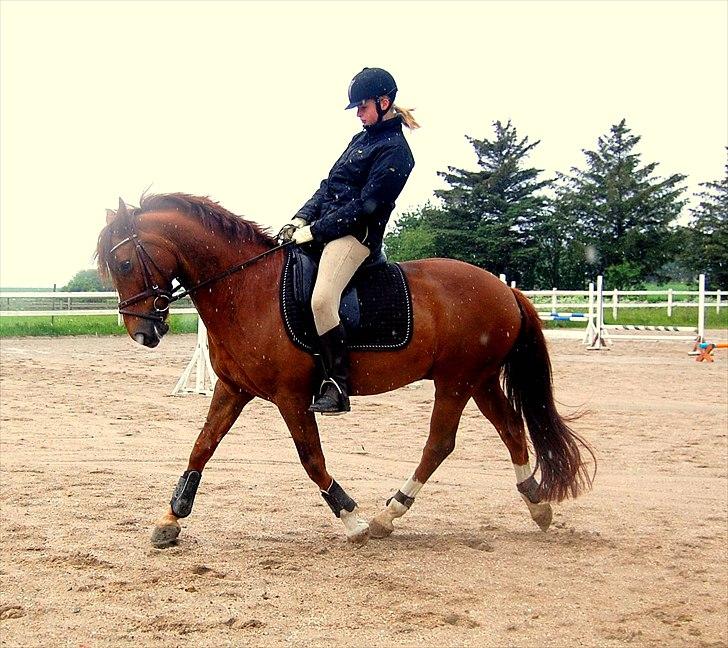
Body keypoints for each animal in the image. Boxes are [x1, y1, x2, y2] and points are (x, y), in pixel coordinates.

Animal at [97, 193, 594, 548]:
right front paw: (170, 519)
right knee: (511, 429)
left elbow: (311, 458)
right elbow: (202, 446)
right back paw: (537, 505)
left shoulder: (291, 397)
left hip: (456, 381)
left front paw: (350, 517)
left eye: (124, 262)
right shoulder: (233, 388)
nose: (142, 332)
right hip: (480, 380)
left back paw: (387, 515)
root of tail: (504, 289)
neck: (245, 287)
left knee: (440, 444)